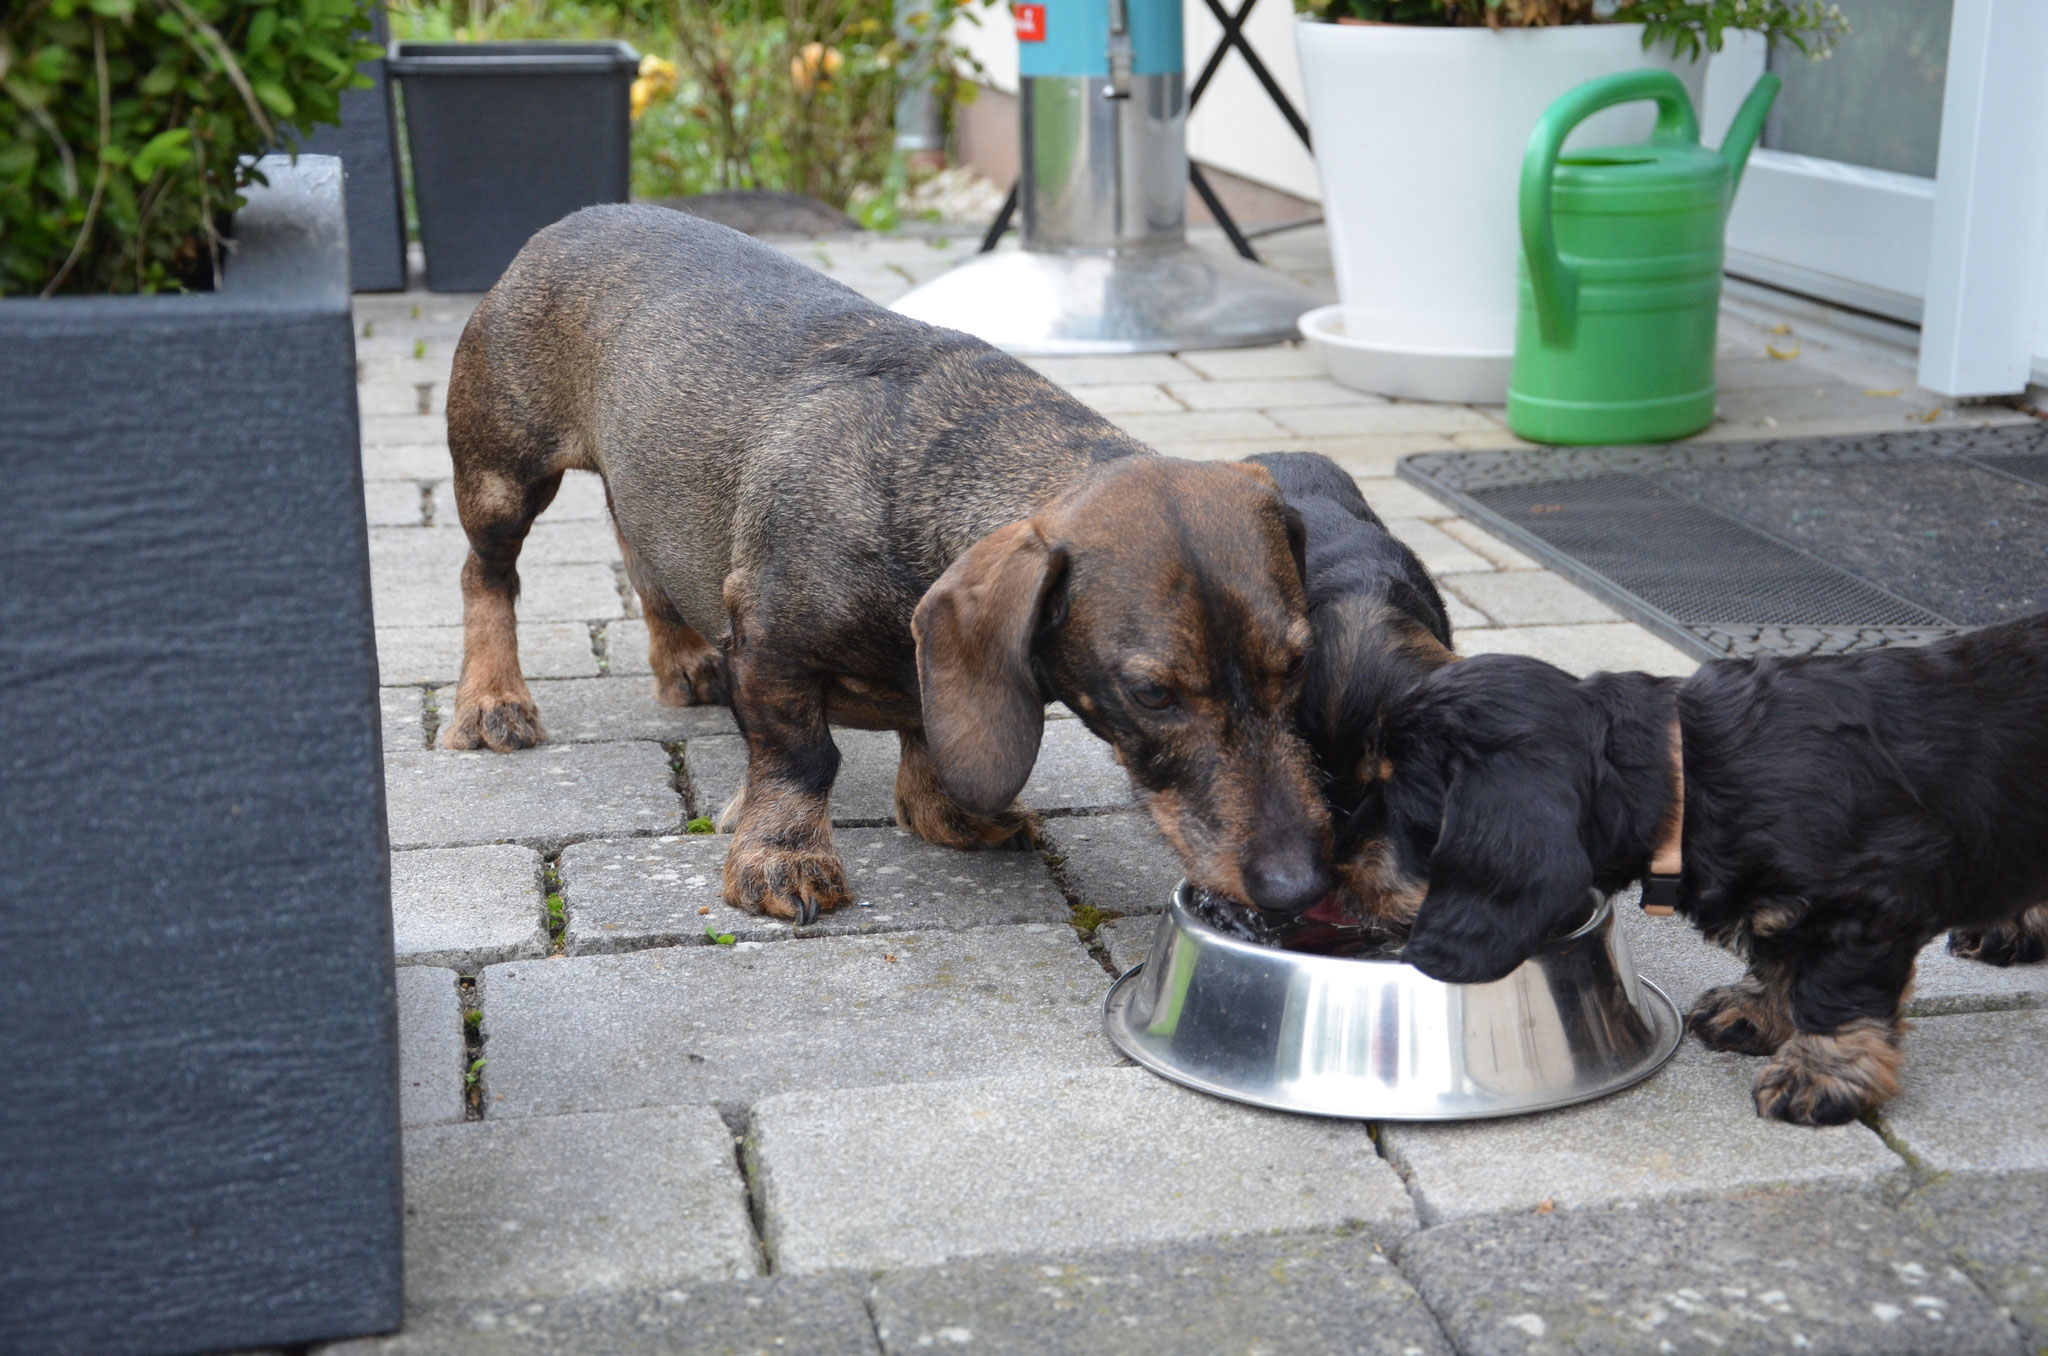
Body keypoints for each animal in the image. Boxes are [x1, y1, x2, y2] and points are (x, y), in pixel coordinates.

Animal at [1368, 614, 2048, 1122]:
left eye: (1393, 802)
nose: (1348, 894)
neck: (1690, 773)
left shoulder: (1864, 908)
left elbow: (1834, 991)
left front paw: (1820, 1076)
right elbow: (1780, 957)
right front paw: (1759, 1012)